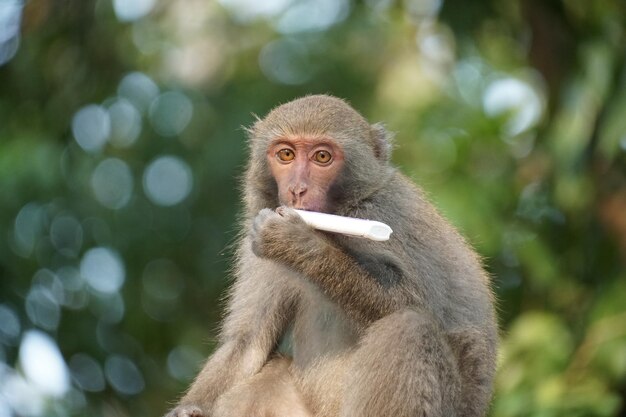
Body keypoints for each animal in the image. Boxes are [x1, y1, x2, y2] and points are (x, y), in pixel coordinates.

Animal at [166, 94, 498, 416]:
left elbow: (415, 301)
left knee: (409, 328)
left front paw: (295, 242)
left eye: (322, 157)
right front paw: (188, 410)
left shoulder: (386, 214)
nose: (297, 190)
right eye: (286, 155)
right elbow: (247, 343)